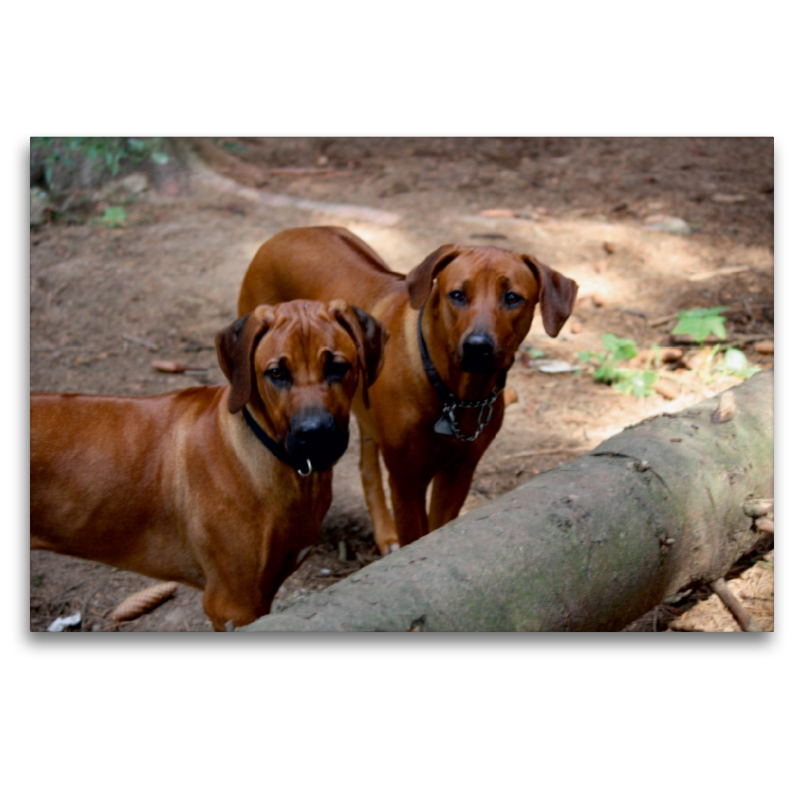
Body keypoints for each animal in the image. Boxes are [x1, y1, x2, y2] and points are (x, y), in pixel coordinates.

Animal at [234, 228, 580, 556]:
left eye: (512, 297)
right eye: (457, 295)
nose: (477, 347)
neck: (456, 396)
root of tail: (284, 234)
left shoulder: (459, 473)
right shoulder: (406, 480)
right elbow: (416, 533)